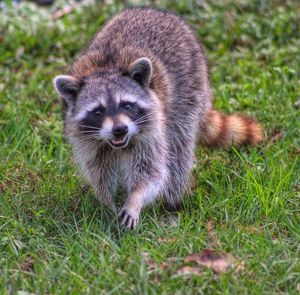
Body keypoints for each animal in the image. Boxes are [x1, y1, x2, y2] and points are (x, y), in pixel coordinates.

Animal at [52, 6, 264, 229]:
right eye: (98, 111)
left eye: (126, 105)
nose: (120, 129)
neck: (105, 69)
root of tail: (155, 10)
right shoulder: (87, 140)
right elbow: (99, 173)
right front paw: (107, 203)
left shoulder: (152, 130)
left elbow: (153, 171)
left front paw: (135, 199)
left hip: (189, 92)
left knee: (178, 150)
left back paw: (172, 202)